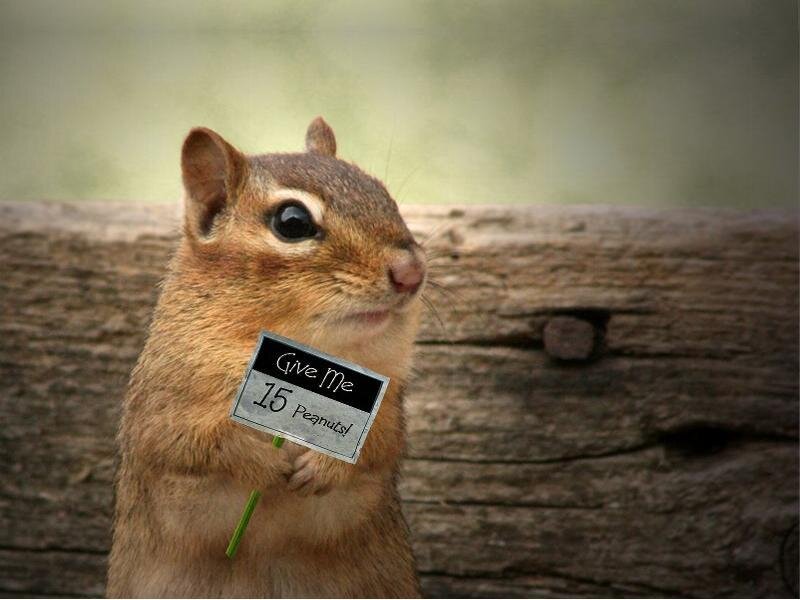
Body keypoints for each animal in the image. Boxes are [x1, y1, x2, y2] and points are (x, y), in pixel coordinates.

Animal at [106, 117, 425, 597]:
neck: (315, 362)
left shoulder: (387, 410)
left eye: (382, 192)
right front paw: (266, 463)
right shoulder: (161, 416)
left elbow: (381, 445)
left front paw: (324, 466)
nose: (412, 272)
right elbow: (194, 446)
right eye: (292, 222)